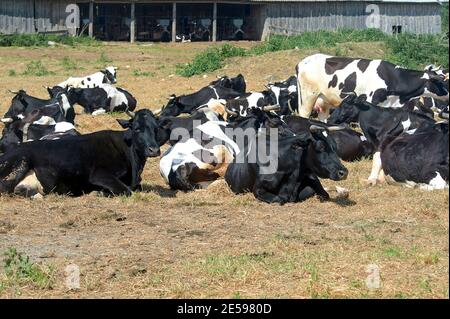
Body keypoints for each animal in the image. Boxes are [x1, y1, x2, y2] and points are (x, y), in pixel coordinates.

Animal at [0, 111, 164, 199]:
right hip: (19, 163)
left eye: (156, 128)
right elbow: (126, 190)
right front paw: (99, 193)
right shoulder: (99, 175)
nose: (154, 150)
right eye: (137, 128)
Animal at [298, 54, 448, 120]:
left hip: (324, 100)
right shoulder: (371, 100)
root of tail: (302, 62)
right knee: (304, 114)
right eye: (441, 81)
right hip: (308, 96)